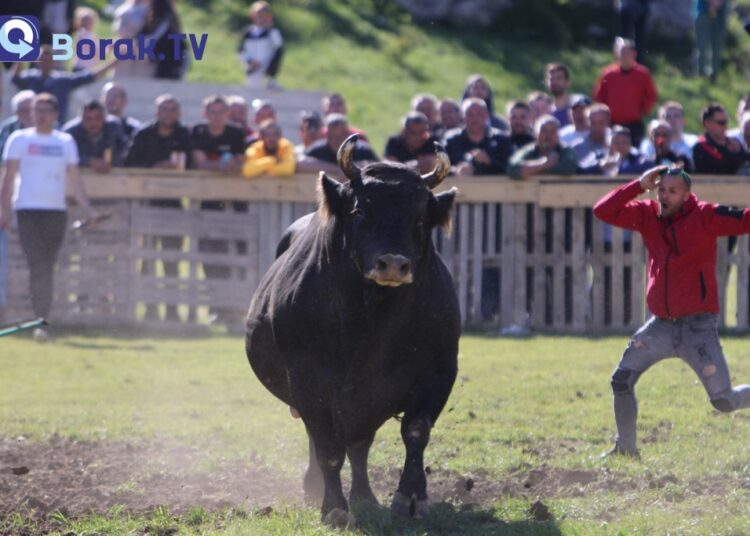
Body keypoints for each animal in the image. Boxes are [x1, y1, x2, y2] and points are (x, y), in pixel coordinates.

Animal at [247, 135, 462, 528]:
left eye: (420, 216)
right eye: (361, 211)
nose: (393, 263)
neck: (371, 317)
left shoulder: (439, 371)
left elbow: (415, 431)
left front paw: (411, 498)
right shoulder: (310, 381)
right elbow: (328, 449)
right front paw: (333, 506)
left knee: (360, 448)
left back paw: (365, 496)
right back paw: (317, 487)